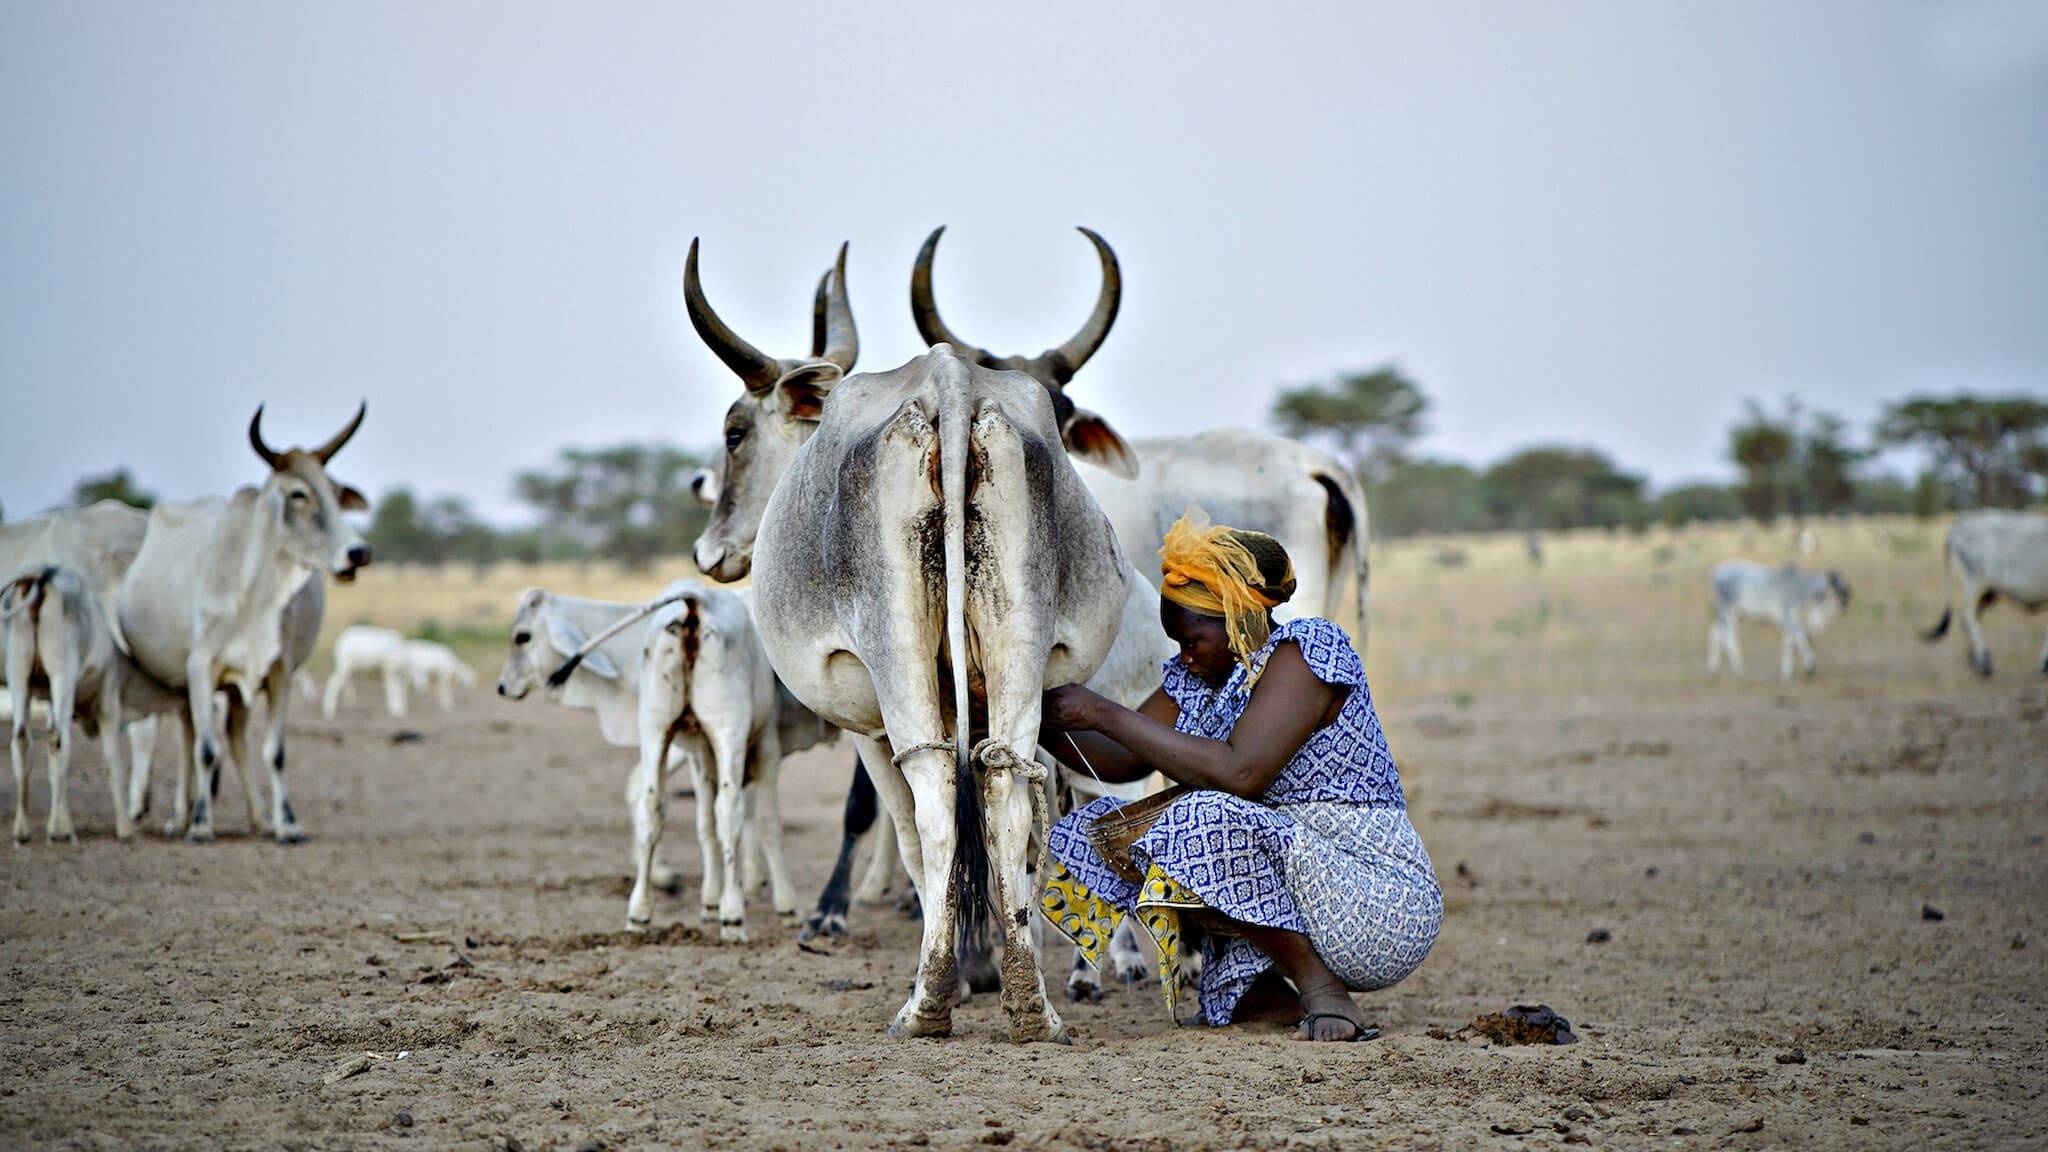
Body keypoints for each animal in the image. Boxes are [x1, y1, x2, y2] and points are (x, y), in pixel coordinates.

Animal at [3, 561, 186, 840]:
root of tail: (40, 578)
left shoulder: (48, 701)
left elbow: (53, 766)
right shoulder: (108, 702)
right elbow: (112, 761)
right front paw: (124, 827)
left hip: (18, 674)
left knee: (22, 739)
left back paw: (22, 831)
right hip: (62, 673)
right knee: (59, 740)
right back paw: (61, 832)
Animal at [117, 401, 372, 832]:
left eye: (337, 493)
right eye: (299, 493)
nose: (358, 553)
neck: (254, 592)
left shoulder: (280, 670)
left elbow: (275, 750)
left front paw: (286, 824)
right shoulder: (199, 667)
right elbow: (205, 749)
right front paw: (201, 825)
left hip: (234, 688)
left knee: (233, 739)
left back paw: (256, 817)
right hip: (182, 681)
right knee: (189, 739)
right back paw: (181, 817)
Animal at [1703, 557, 1851, 676]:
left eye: (1844, 584)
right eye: (1835, 584)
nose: (1846, 598)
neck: (1802, 589)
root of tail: (1717, 571)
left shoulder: (1790, 622)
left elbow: (1789, 643)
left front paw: (1787, 672)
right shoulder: (1787, 618)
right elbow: (1800, 637)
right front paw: (1810, 665)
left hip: (1728, 613)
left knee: (1715, 632)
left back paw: (1714, 668)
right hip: (1727, 611)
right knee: (1728, 636)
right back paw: (1739, 669)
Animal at [1916, 508, 2048, 676]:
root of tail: (1958, 527)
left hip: (1986, 592)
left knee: (1970, 619)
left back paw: (1976, 661)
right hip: (1975, 583)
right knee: (1968, 617)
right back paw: (1984, 662)